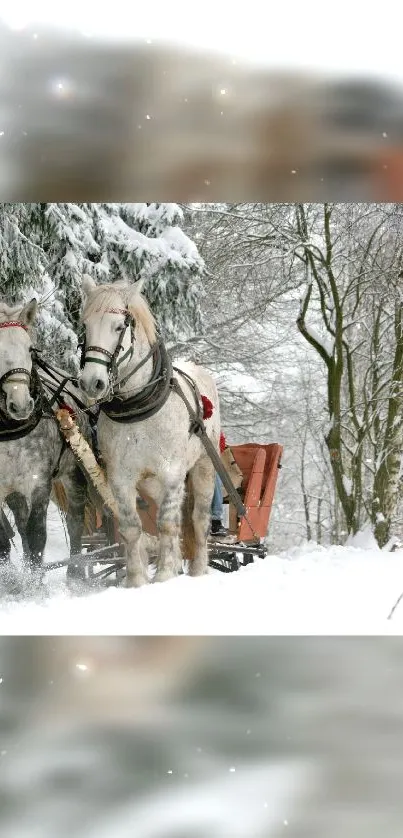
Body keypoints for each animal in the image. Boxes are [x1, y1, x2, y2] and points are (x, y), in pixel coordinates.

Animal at [79, 278, 221, 588]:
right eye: (85, 326)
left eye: (119, 326)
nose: (92, 382)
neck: (138, 405)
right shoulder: (120, 478)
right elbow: (132, 528)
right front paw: (136, 580)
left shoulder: (172, 473)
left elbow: (167, 524)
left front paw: (165, 575)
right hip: (151, 483)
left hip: (204, 465)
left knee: (198, 519)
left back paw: (198, 569)